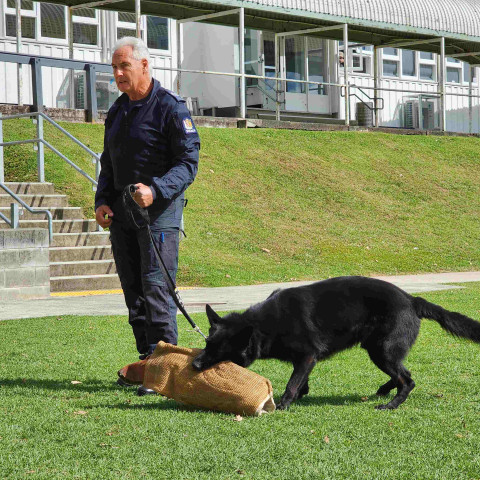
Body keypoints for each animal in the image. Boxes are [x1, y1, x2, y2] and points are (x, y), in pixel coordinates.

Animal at [191, 276, 480, 410]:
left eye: (217, 350)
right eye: (206, 344)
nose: (194, 364)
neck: (265, 325)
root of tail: (412, 299)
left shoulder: (308, 354)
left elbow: (293, 382)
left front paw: (285, 404)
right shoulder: (306, 359)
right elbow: (302, 379)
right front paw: (303, 393)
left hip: (382, 350)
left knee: (407, 380)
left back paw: (390, 404)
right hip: (379, 350)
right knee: (402, 373)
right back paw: (384, 390)